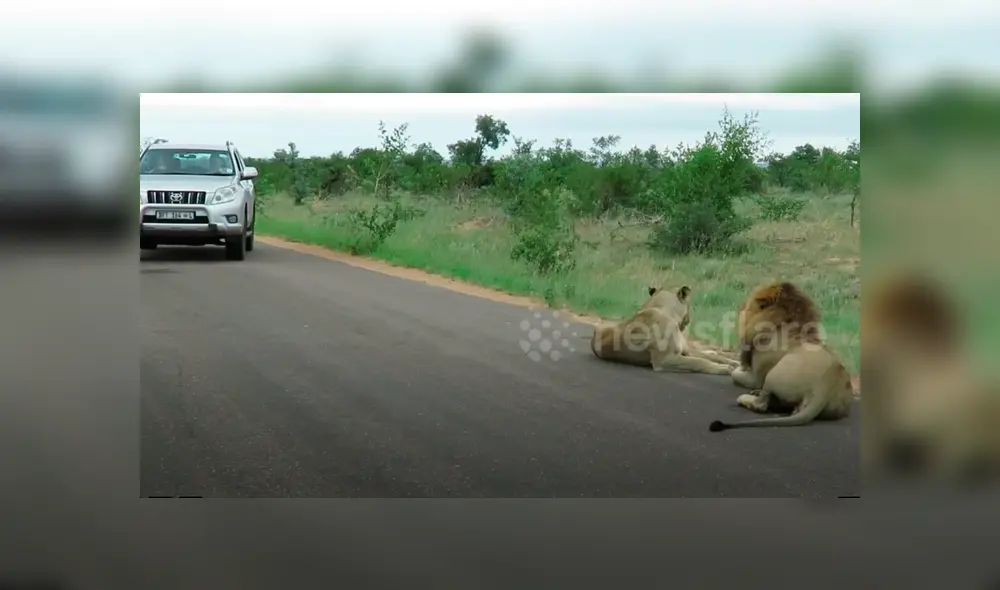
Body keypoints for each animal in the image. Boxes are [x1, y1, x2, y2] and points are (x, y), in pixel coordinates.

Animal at [590, 285, 739, 375]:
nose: (689, 319)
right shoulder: (664, 360)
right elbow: (698, 362)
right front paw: (724, 369)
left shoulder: (685, 351)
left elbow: (713, 357)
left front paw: (734, 362)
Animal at [708, 281, 855, 431]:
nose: (740, 306)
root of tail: (827, 383)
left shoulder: (756, 378)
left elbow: (735, 375)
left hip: (773, 375)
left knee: (761, 404)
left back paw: (746, 398)